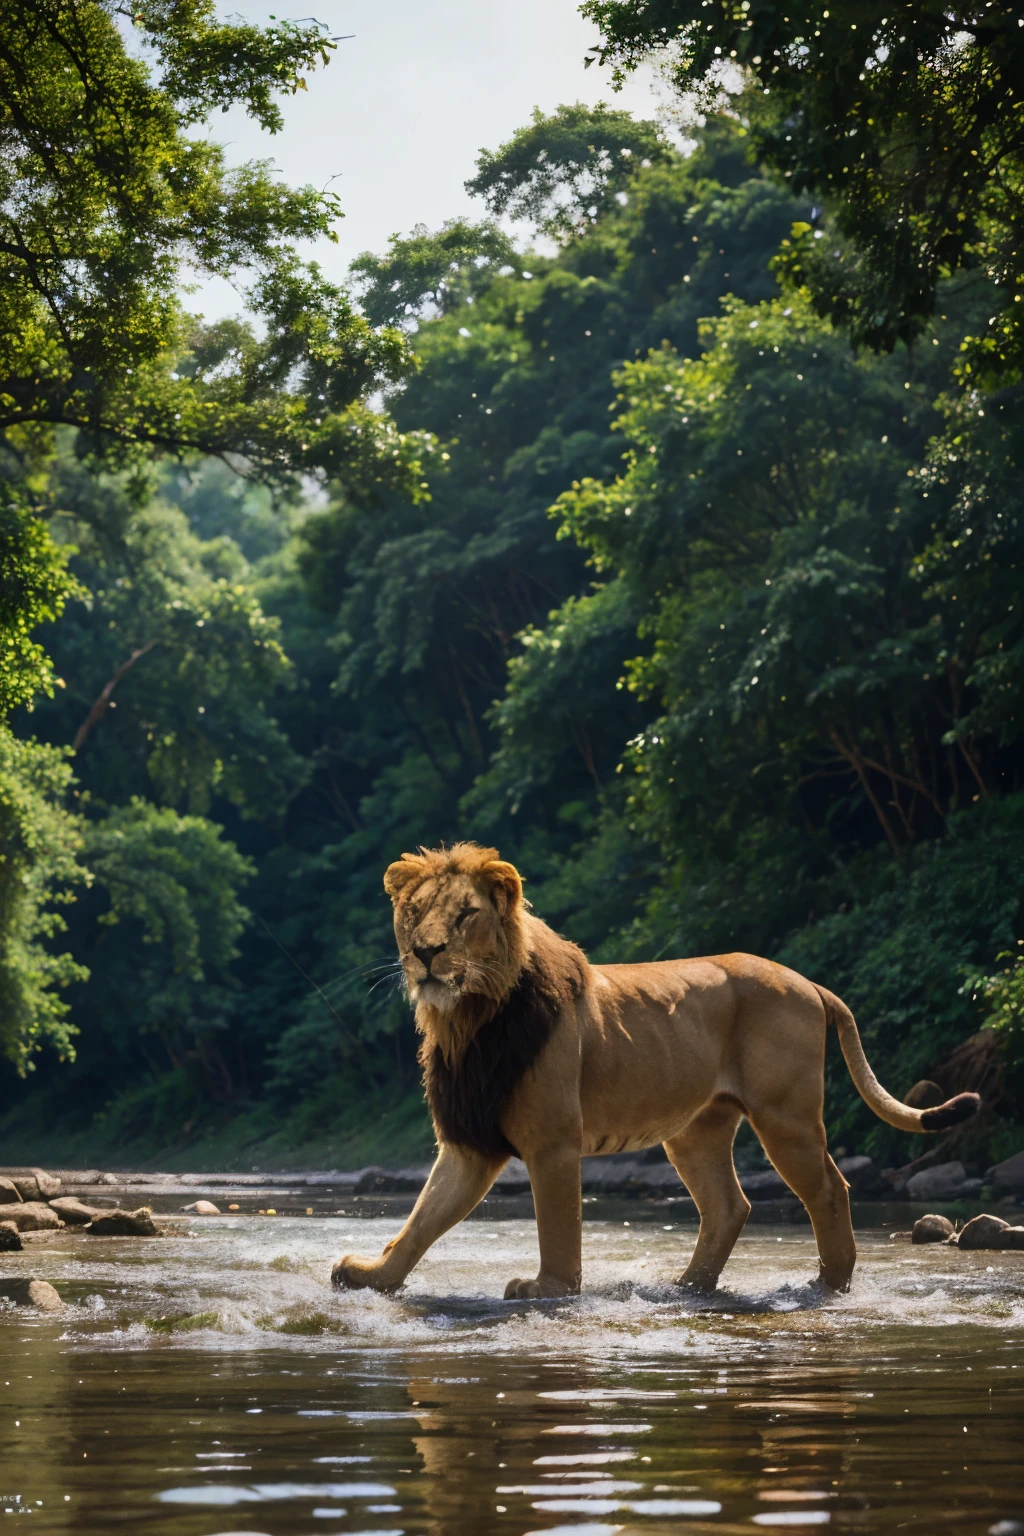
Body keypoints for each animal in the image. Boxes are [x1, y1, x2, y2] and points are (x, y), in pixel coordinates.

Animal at [333, 847, 982, 1302]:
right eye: (413, 913)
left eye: (466, 915)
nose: (425, 953)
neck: (470, 1020)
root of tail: (812, 983)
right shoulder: (469, 1140)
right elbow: (421, 1220)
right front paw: (371, 1275)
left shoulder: (553, 1141)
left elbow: (557, 1224)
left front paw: (548, 1290)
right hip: (696, 1129)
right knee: (729, 1205)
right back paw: (688, 1286)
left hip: (785, 1116)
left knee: (829, 1188)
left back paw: (829, 1285)